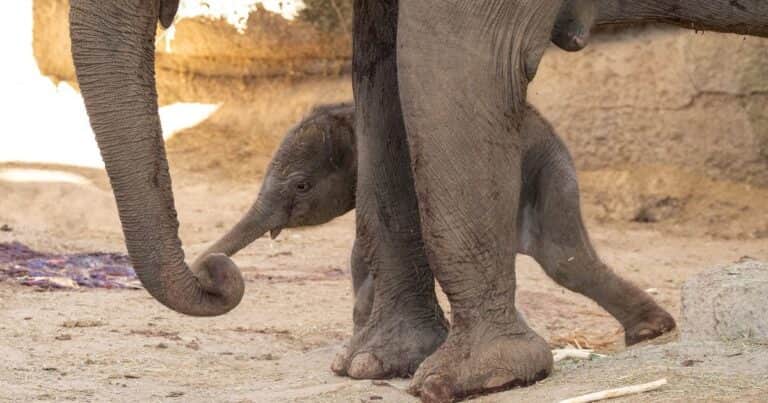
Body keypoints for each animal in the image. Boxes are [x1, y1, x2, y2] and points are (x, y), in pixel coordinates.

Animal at [196, 100, 676, 348]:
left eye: (300, 185)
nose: (211, 270)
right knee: (562, 258)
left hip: (544, 169)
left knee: (563, 259)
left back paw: (650, 332)